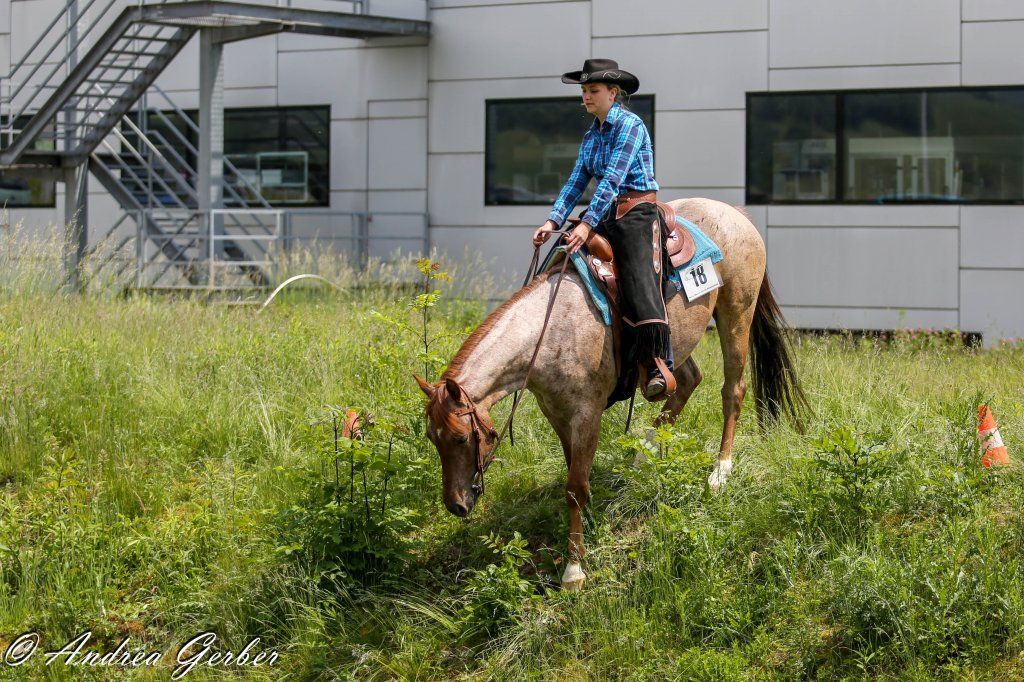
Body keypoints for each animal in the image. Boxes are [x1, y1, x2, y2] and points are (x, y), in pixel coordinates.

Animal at [415, 198, 808, 591]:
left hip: (736, 312)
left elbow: (575, 487)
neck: (553, 328)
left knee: (733, 390)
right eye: (432, 439)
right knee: (686, 381)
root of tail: (734, 212)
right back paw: (643, 457)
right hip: (671, 340)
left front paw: (573, 570)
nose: (456, 505)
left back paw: (720, 470)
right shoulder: (556, 412)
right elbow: (575, 472)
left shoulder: (587, 413)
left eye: (461, 438)